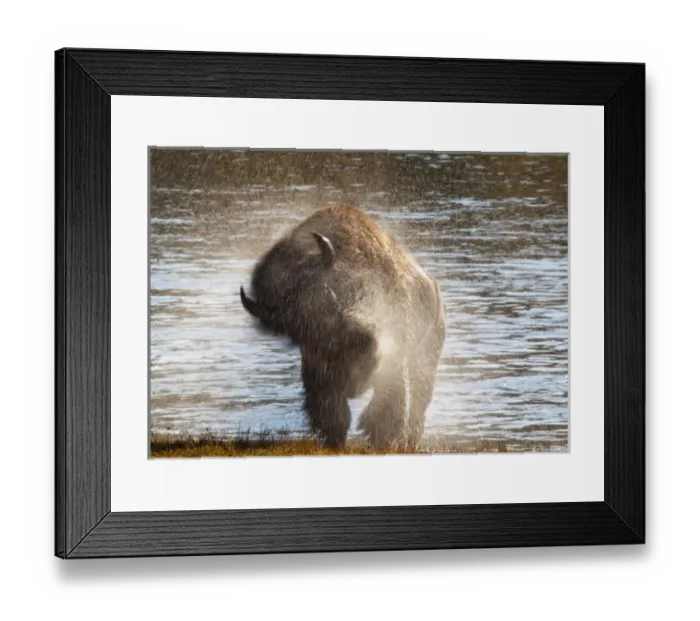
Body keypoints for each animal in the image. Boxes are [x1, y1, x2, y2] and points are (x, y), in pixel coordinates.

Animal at [240, 204, 446, 450]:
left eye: (326, 294)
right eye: (298, 331)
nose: (363, 343)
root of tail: (432, 283)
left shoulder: (395, 352)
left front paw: (379, 437)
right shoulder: (318, 372)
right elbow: (330, 407)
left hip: (428, 354)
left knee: (418, 400)